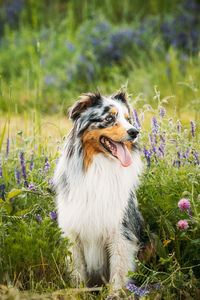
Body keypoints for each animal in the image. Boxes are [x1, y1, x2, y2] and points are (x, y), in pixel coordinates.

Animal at [53, 91, 144, 288]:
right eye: (109, 118)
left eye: (128, 119)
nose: (135, 132)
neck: (100, 166)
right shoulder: (73, 232)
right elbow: (77, 271)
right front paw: (78, 292)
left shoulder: (121, 232)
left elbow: (118, 274)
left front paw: (115, 293)